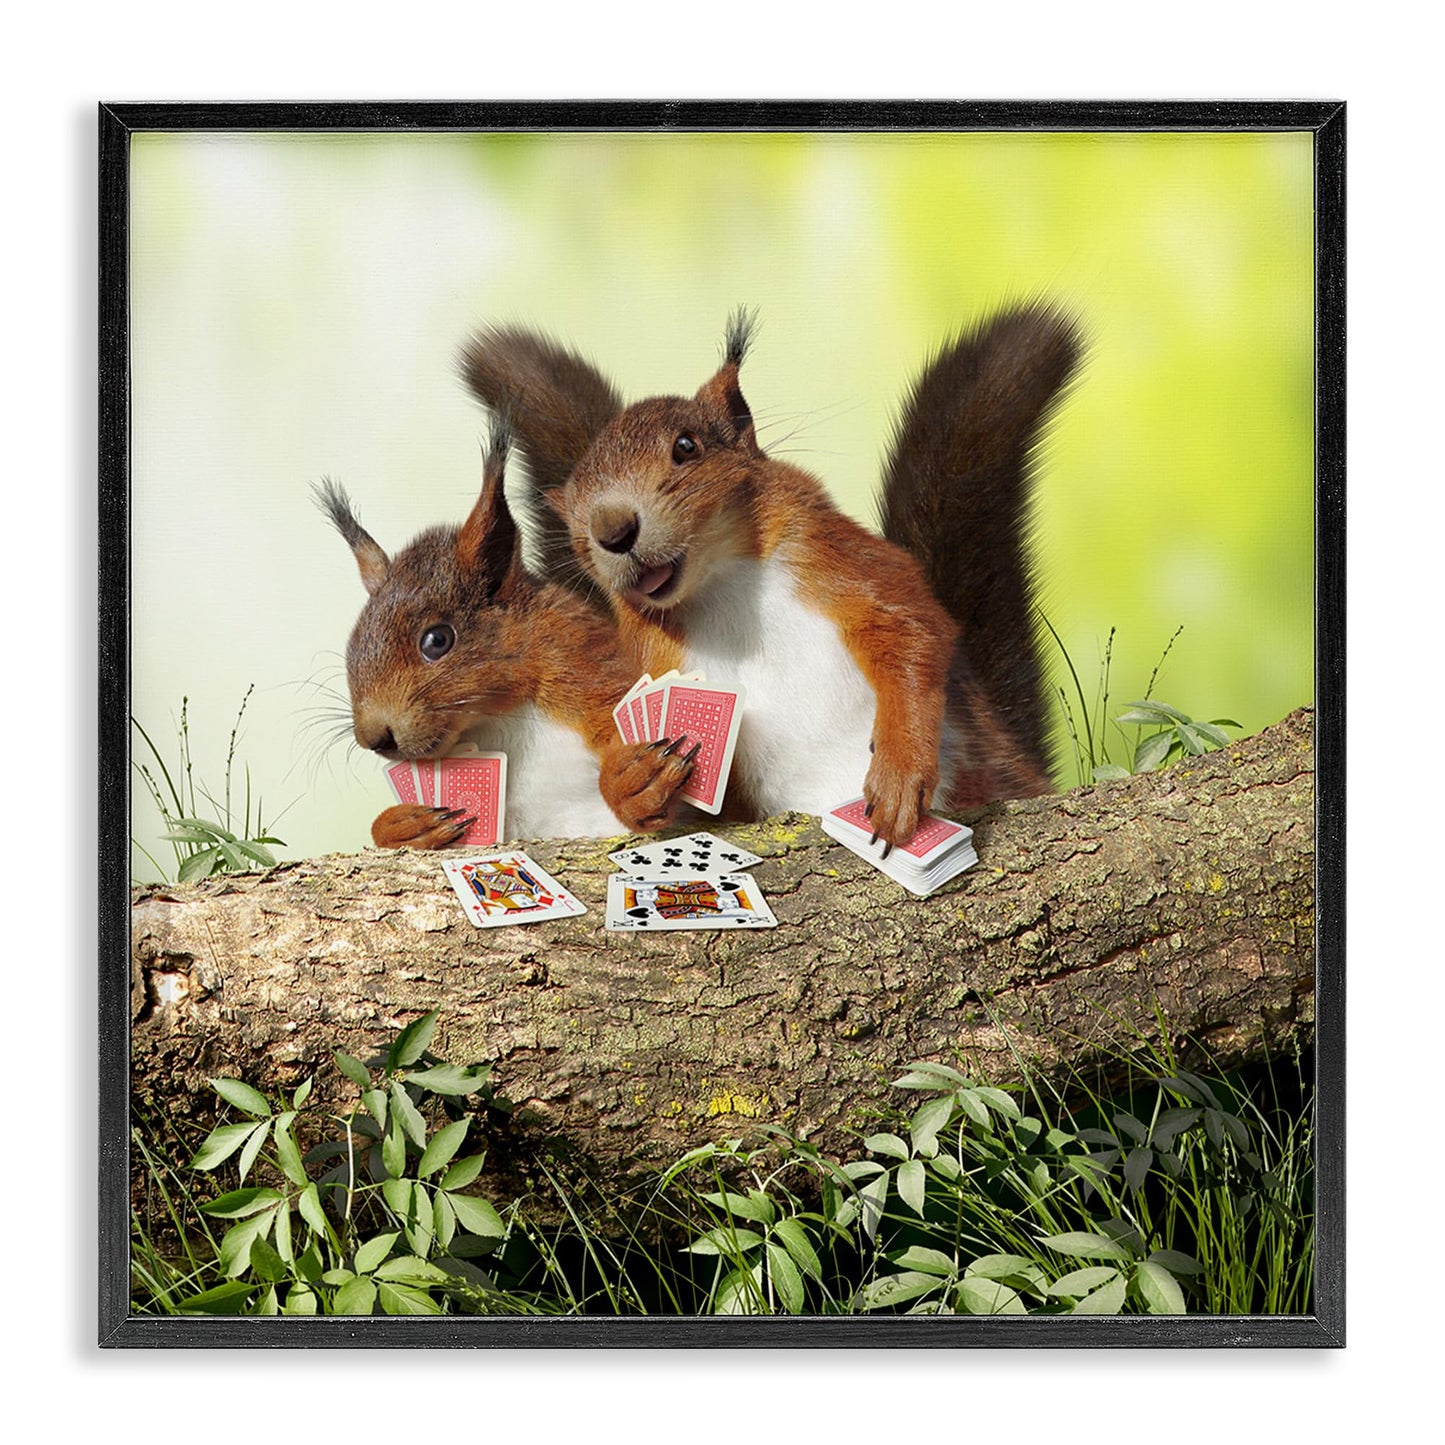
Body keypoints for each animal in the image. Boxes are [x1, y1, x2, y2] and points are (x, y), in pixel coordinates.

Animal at [316, 419, 697, 848]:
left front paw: (635, 780)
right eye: (352, 644)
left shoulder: (582, 666)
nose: (374, 737)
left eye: (437, 640)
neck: (497, 717)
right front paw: (404, 824)